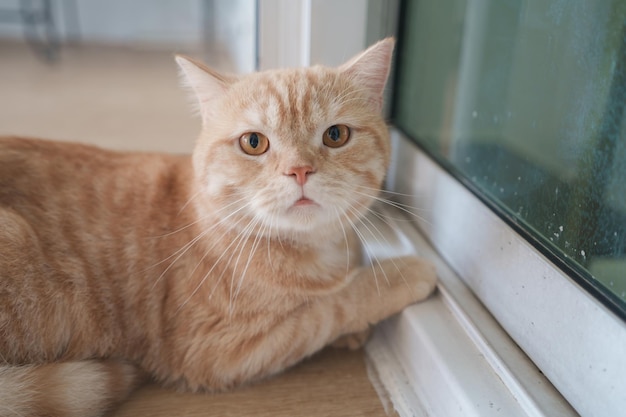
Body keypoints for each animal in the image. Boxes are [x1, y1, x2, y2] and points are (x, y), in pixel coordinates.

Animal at [0, 39, 434, 416]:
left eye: (336, 135)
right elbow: (331, 306)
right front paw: (400, 274)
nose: (299, 170)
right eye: (254, 142)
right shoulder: (219, 350)